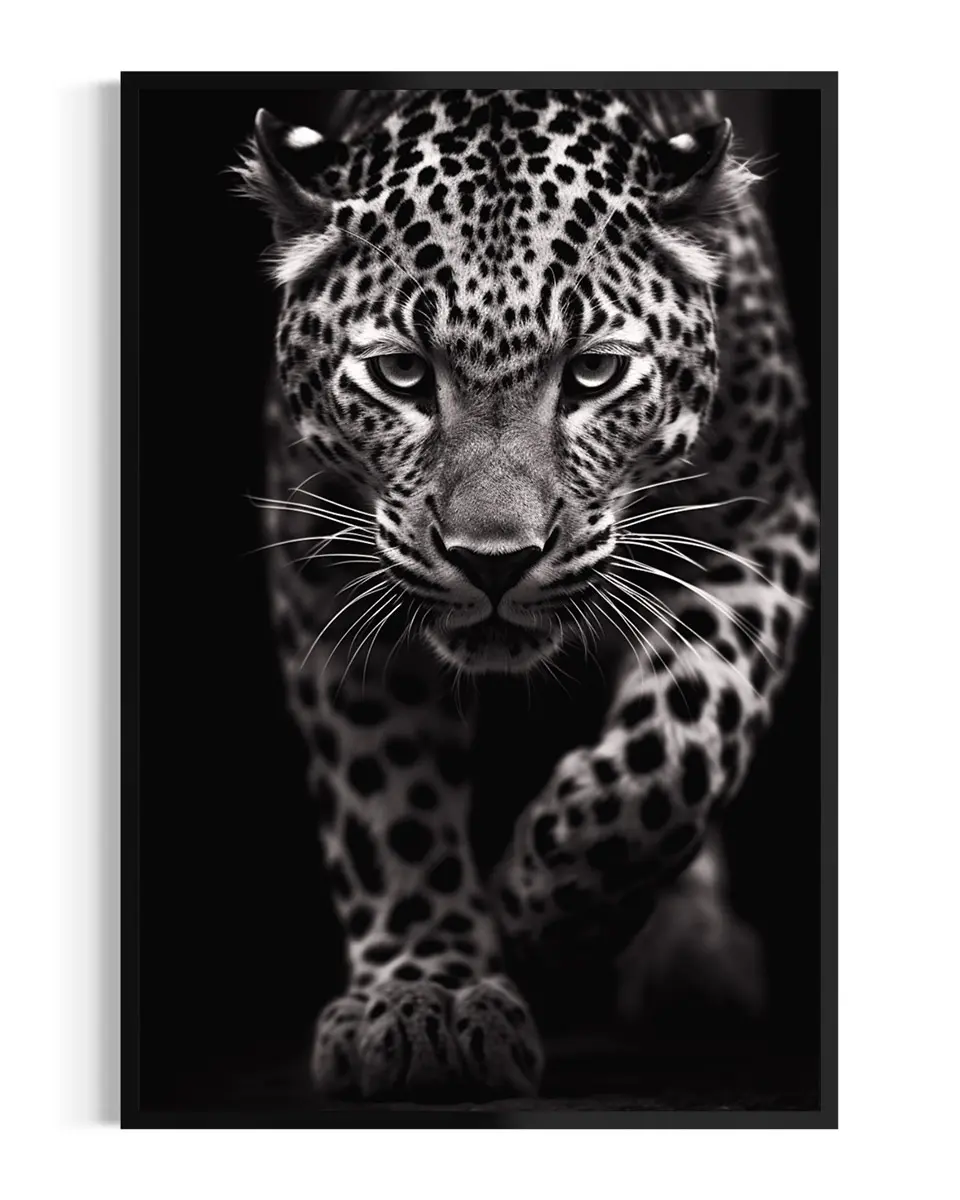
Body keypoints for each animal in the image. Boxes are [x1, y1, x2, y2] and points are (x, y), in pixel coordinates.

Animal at [234, 87, 820, 1101]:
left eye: (594, 371)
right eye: (401, 373)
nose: (494, 560)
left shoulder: (765, 519)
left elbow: (680, 743)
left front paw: (544, 909)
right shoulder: (323, 575)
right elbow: (387, 796)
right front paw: (425, 994)